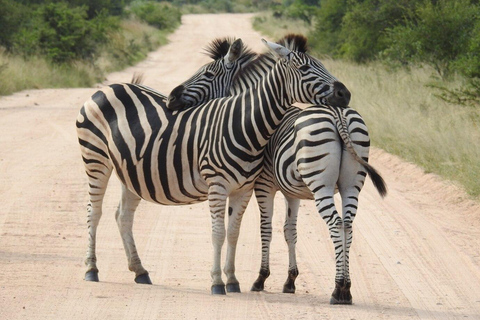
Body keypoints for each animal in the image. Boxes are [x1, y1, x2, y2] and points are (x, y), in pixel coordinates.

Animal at [76, 37, 348, 296]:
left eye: (207, 73)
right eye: (304, 69)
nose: (345, 93)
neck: (242, 124)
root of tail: (109, 87)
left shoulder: (243, 189)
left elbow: (233, 232)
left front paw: (233, 281)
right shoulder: (217, 186)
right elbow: (218, 233)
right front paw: (217, 283)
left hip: (130, 171)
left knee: (123, 216)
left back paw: (140, 271)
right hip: (96, 158)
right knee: (93, 211)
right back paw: (91, 269)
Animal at [169, 33, 386, 304]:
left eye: (207, 74)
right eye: (307, 68)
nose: (172, 97)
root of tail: (339, 116)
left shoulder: (263, 185)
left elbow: (266, 228)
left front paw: (261, 278)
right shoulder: (293, 193)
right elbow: (289, 231)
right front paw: (290, 280)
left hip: (321, 184)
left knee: (336, 224)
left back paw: (338, 289)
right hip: (352, 184)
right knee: (347, 224)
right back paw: (347, 288)